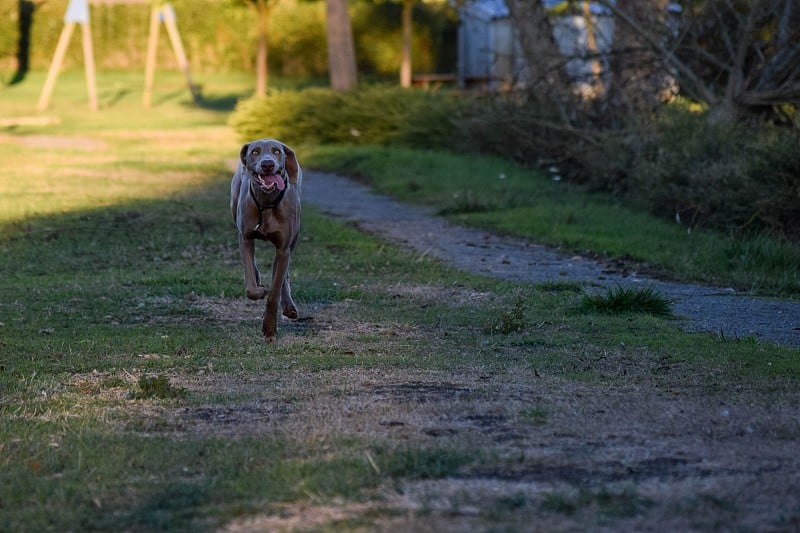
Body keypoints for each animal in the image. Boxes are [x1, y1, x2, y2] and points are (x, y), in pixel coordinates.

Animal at [233, 138, 304, 340]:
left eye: (277, 151)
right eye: (255, 152)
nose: (267, 164)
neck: (266, 202)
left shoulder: (283, 248)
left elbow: (274, 292)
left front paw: (269, 328)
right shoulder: (245, 238)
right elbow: (251, 286)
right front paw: (259, 289)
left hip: (293, 240)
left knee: (282, 273)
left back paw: (289, 306)